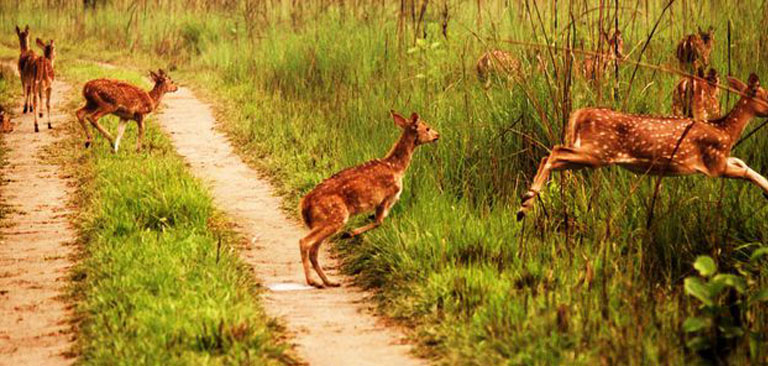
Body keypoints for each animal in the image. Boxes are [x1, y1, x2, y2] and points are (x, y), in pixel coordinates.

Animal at [302, 110, 440, 288]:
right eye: (427, 127)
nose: (437, 135)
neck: (396, 167)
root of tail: (304, 205)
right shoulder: (386, 197)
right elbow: (379, 221)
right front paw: (350, 233)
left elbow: (378, 220)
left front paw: (351, 233)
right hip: (334, 215)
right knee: (305, 242)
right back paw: (313, 281)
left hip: (322, 221)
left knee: (314, 250)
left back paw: (328, 281)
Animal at [516, 73, 768, 219]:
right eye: (766, 95)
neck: (725, 131)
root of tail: (578, 114)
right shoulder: (713, 163)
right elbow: (745, 171)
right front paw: (766, 188)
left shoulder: (720, 159)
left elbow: (742, 162)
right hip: (597, 152)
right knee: (554, 152)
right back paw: (525, 204)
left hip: (588, 154)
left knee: (550, 156)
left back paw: (526, 201)